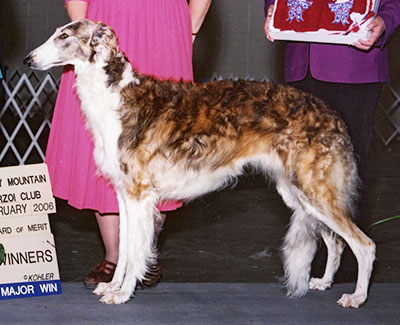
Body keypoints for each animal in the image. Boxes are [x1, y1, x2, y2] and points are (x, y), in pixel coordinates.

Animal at [24, 19, 376, 306]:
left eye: (64, 36)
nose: (28, 60)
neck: (115, 95)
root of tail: (331, 114)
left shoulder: (139, 195)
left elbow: (136, 251)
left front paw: (122, 294)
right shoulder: (125, 195)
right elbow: (123, 248)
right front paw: (112, 286)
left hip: (315, 191)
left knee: (363, 244)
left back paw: (357, 297)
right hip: (299, 193)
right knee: (335, 242)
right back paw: (324, 282)